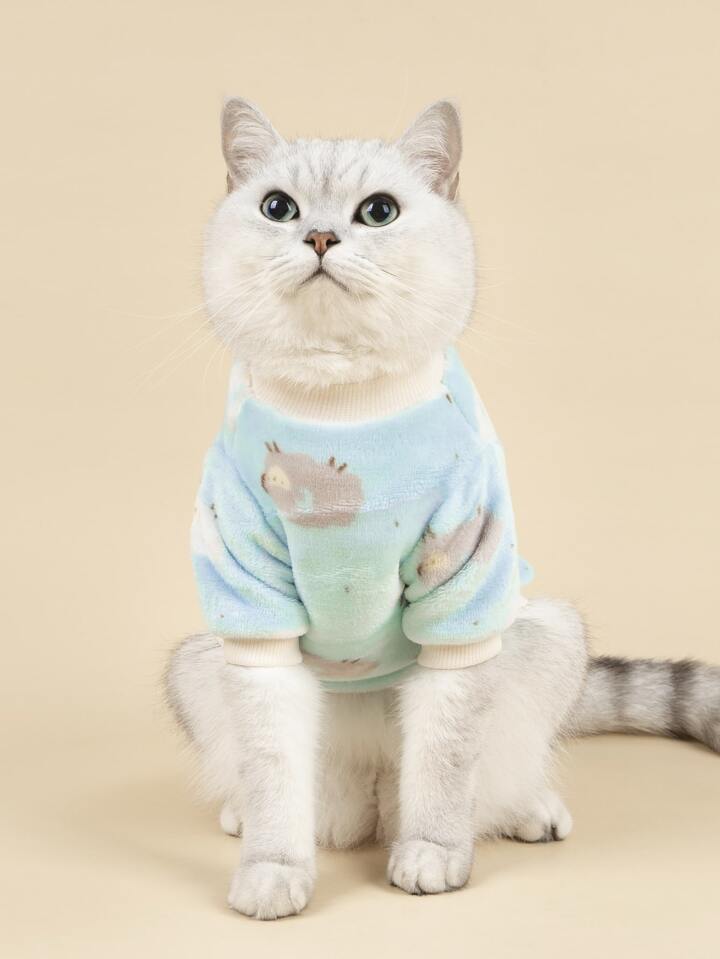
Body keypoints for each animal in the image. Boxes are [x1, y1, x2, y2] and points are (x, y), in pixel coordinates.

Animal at [164, 97, 720, 920]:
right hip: (197, 663)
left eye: (378, 211)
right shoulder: (252, 616)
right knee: (309, 791)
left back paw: (520, 811)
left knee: (486, 777)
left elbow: (447, 760)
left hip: (547, 634)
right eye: (278, 208)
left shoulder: (460, 604)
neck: (343, 416)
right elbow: (273, 771)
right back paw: (283, 813)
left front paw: (431, 851)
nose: (320, 236)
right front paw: (272, 867)